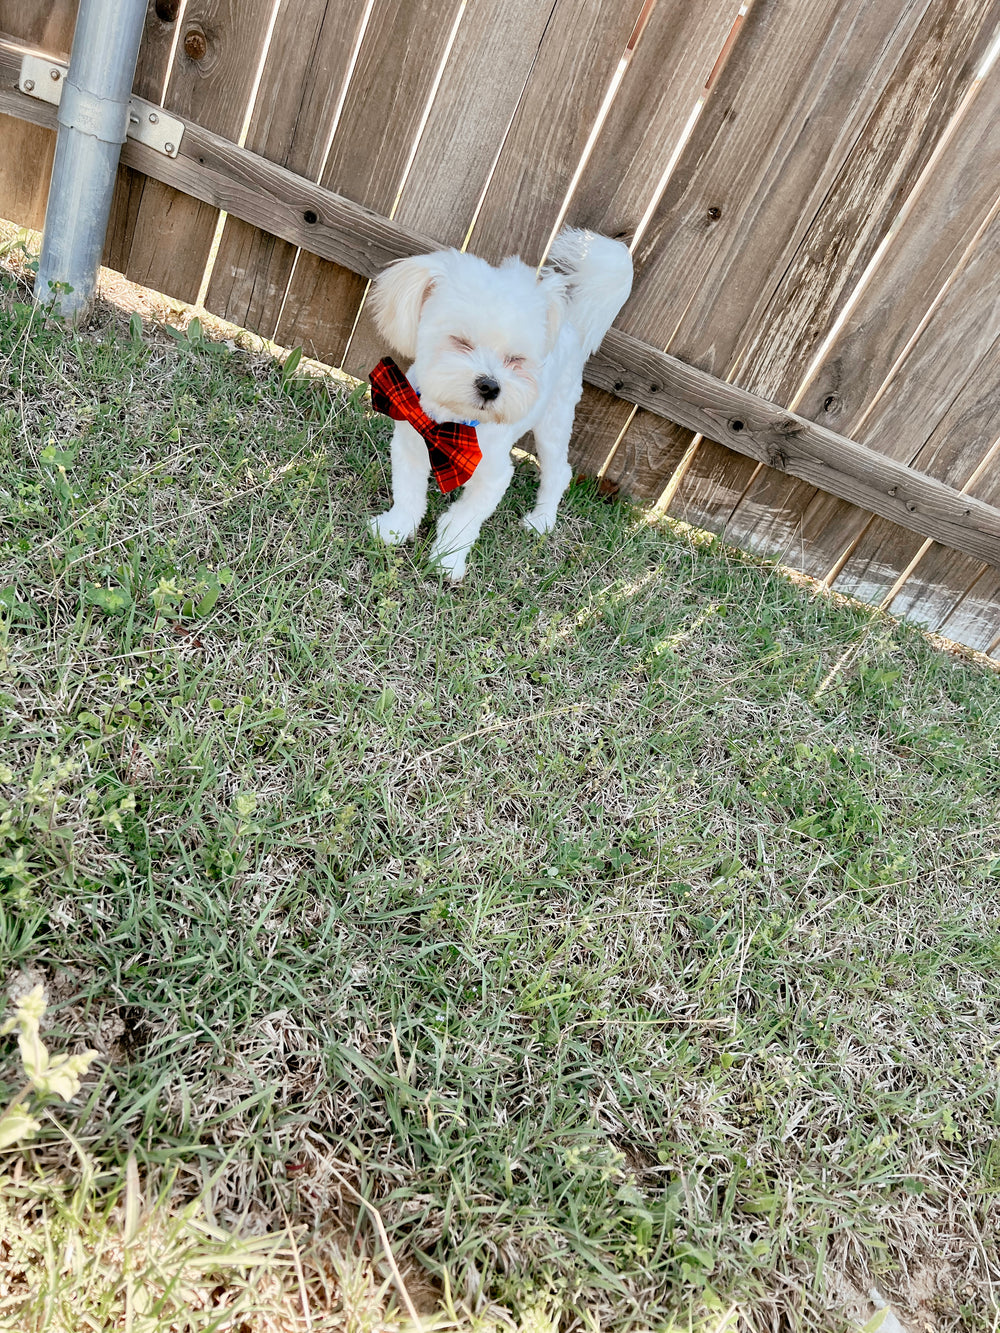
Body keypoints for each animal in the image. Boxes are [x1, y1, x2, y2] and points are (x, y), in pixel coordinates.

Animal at [368, 226, 634, 581]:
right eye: (461, 342)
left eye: (515, 359)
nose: (490, 385)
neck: (454, 423)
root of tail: (571, 328)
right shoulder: (409, 446)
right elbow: (409, 496)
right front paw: (394, 529)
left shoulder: (494, 475)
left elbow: (464, 518)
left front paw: (448, 560)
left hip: (554, 423)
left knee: (559, 472)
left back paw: (541, 519)